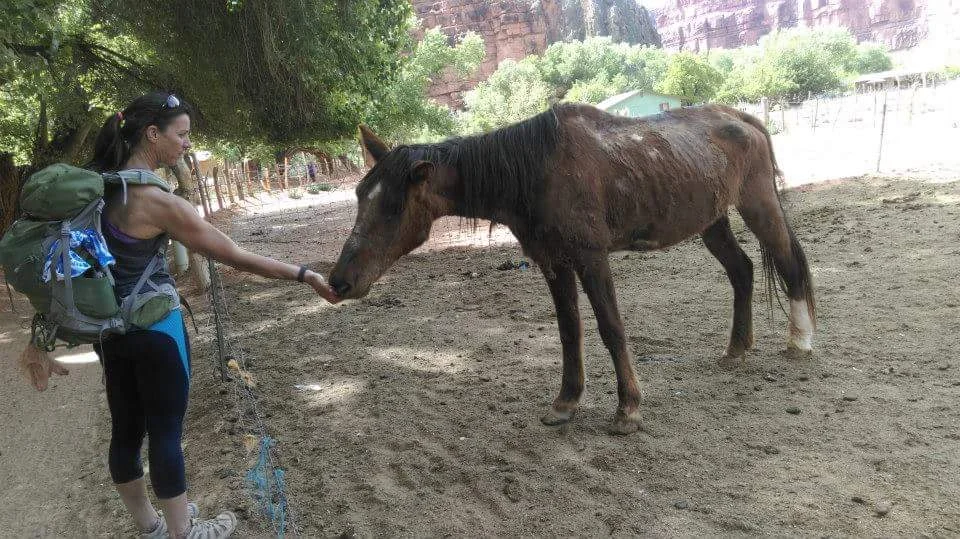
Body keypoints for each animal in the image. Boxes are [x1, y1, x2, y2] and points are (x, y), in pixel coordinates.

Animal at [329, 103, 815, 434]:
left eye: (393, 208)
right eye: (359, 194)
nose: (339, 281)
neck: (536, 170)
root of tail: (744, 118)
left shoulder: (591, 257)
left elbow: (611, 328)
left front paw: (628, 408)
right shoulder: (553, 262)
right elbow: (569, 331)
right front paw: (566, 402)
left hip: (758, 205)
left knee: (789, 264)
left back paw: (800, 341)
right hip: (711, 222)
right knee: (743, 271)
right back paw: (737, 348)